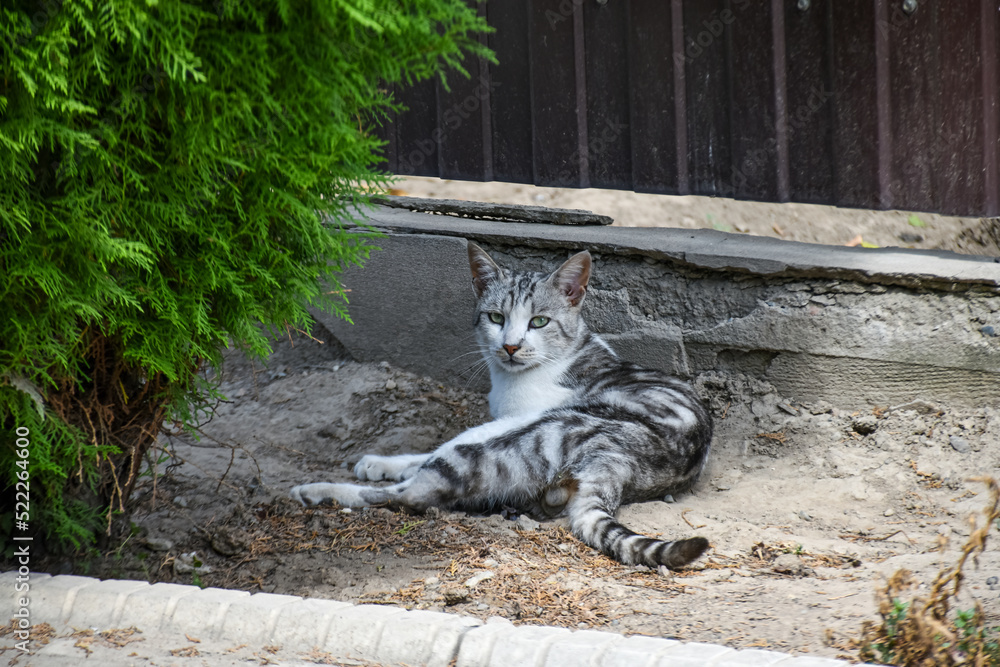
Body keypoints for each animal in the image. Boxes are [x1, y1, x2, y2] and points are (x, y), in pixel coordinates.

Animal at [290, 243, 712, 572]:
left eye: (539, 321)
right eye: (496, 318)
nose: (510, 345)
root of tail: (615, 463)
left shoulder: (508, 420)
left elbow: (423, 461)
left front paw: (374, 468)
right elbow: (419, 455)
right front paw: (379, 462)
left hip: (514, 434)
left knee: (411, 494)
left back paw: (315, 491)